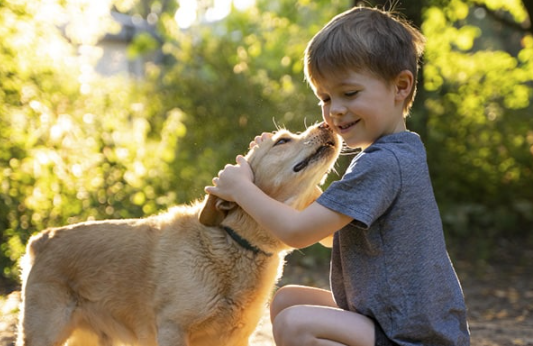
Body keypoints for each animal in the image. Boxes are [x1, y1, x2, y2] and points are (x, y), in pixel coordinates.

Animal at [17, 123, 340, 344]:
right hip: (45, 334)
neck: (234, 243)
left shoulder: (235, 338)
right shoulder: (173, 329)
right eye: (283, 140)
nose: (327, 125)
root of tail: (43, 238)